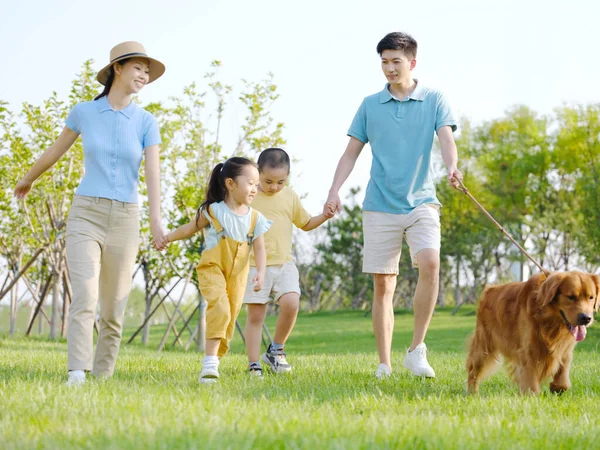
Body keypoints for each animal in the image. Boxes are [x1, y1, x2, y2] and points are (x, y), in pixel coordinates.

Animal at [468, 270, 600, 394]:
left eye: (591, 297)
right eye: (571, 297)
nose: (586, 318)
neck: (550, 319)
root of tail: (489, 289)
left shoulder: (565, 350)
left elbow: (563, 378)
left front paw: (556, 387)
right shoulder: (529, 351)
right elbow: (531, 381)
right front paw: (531, 396)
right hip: (483, 347)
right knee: (472, 371)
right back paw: (472, 392)